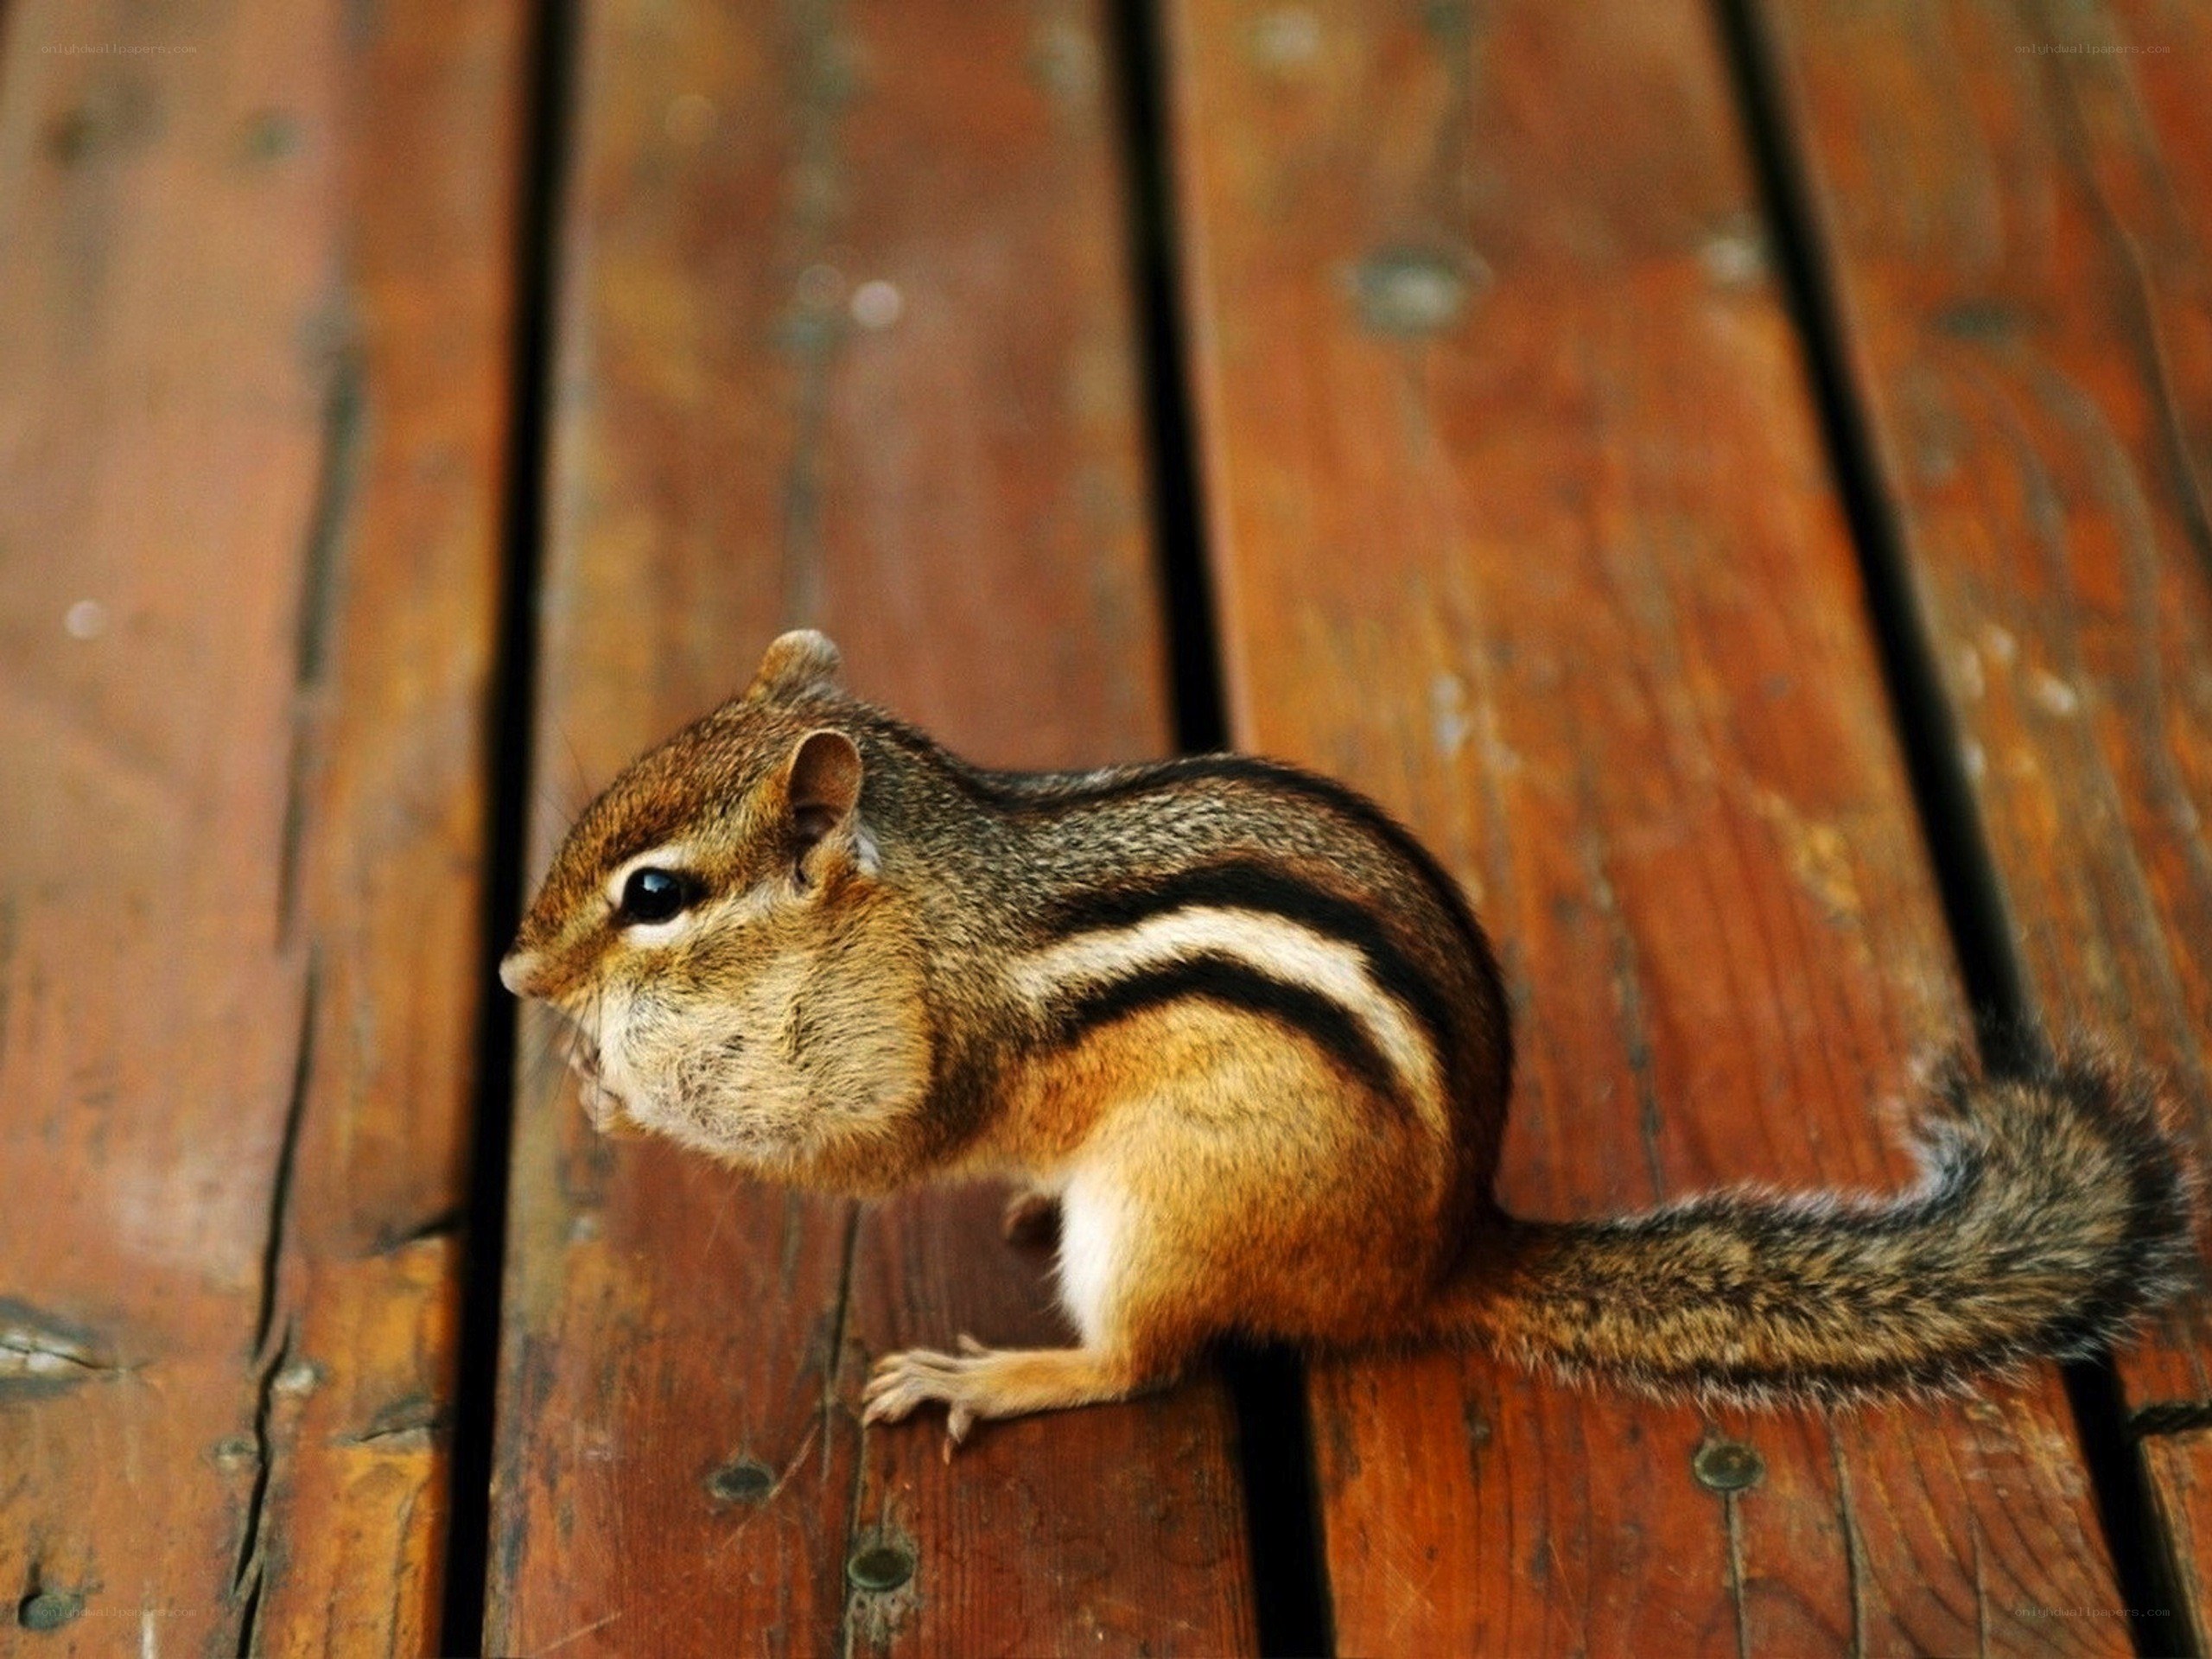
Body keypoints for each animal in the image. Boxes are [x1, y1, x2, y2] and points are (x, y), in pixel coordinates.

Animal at [502, 629, 2198, 1451]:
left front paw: (618, 1086)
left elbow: (856, 1148)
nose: (517, 973)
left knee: (1137, 1364)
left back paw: (1002, 1376)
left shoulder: (923, 1046)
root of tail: (1438, 1257)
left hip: (1169, 1208)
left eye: (655, 894)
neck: (916, 878)